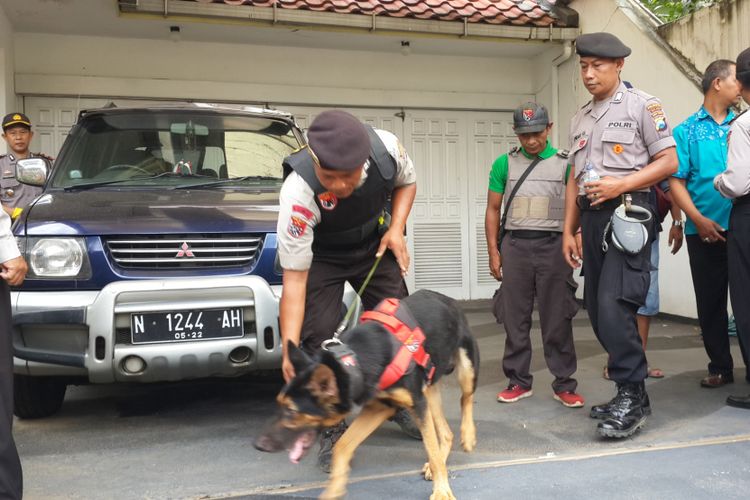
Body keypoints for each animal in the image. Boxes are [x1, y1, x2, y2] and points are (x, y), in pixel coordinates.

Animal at [256, 290, 482, 500]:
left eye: (292, 411)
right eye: (280, 404)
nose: (257, 445)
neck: (353, 362)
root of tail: (447, 299)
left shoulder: (416, 404)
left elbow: (432, 450)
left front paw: (442, 491)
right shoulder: (378, 407)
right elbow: (342, 446)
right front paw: (334, 490)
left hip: (466, 369)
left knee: (466, 398)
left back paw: (468, 435)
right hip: (429, 388)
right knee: (446, 433)